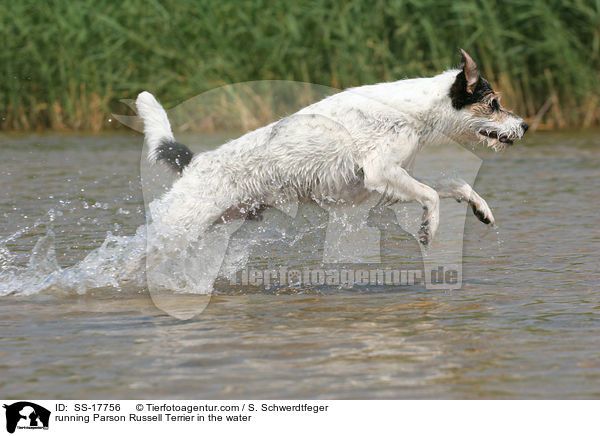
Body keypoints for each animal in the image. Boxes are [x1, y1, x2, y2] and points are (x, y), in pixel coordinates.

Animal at [136, 49, 524, 247]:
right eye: (493, 103)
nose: (524, 125)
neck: (415, 111)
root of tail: (194, 163)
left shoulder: (390, 184)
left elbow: (454, 185)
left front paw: (480, 207)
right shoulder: (381, 172)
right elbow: (431, 195)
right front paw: (430, 228)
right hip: (179, 223)